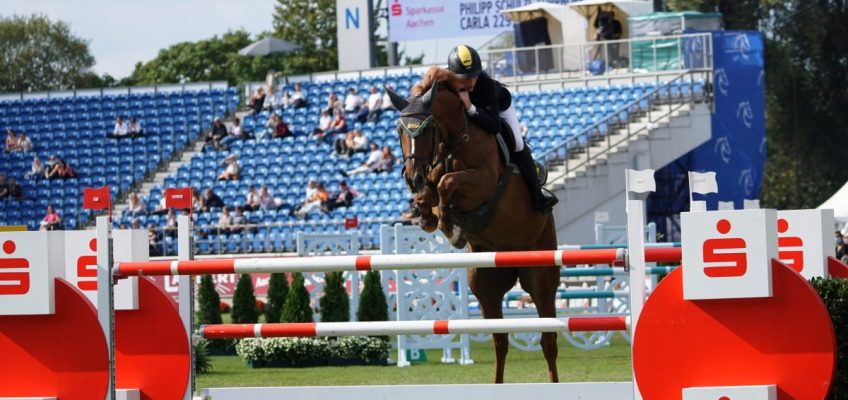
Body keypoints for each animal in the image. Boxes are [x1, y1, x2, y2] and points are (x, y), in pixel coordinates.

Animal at [386, 66, 564, 384]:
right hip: (484, 285)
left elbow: (447, 182)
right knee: (500, 340)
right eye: (399, 131)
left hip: (541, 279)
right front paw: (433, 218)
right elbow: (432, 192)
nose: (411, 177)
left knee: (548, 339)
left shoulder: (482, 183)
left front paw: (450, 226)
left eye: (426, 129)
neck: (455, 140)